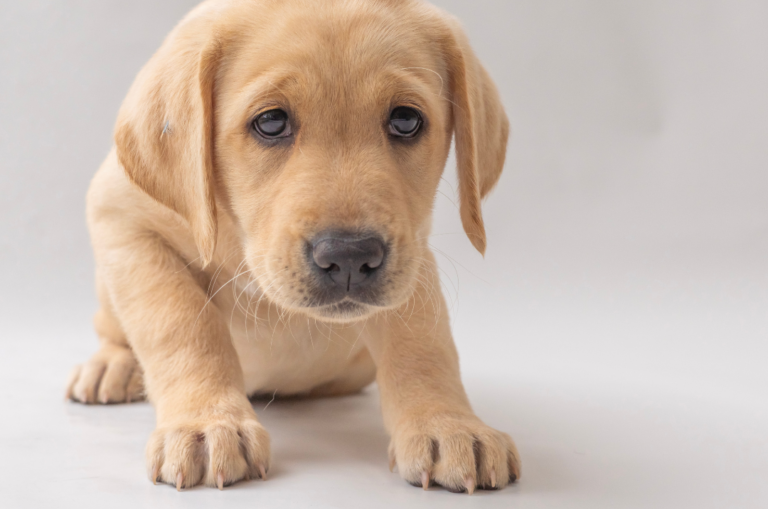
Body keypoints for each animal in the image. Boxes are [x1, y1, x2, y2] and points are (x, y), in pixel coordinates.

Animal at [67, 0, 520, 494]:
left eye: (405, 120)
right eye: (271, 122)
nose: (349, 256)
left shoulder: (412, 250)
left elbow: (422, 342)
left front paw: (447, 424)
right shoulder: (122, 218)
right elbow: (181, 323)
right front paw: (208, 423)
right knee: (112, 327)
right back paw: (113, 366)